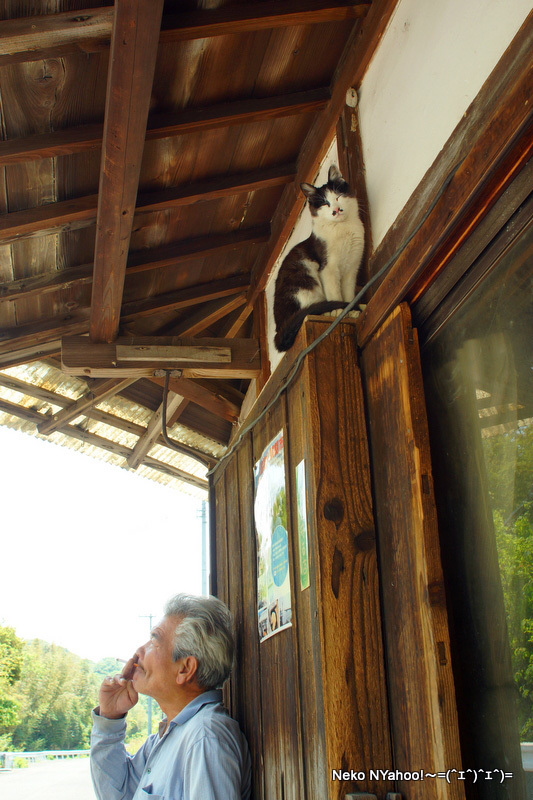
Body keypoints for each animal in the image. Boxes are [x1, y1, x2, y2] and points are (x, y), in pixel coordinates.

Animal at [272, 164, 364, 352]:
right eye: (325, 204)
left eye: (338, 196)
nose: (336, 210)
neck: (344, 230)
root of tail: (279, 330)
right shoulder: (328, 268)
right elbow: (335, 292)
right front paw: (340, 312)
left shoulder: (352, 267)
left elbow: (348, 294)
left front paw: (351, 309)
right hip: (304, 280)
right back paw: (329, 311)